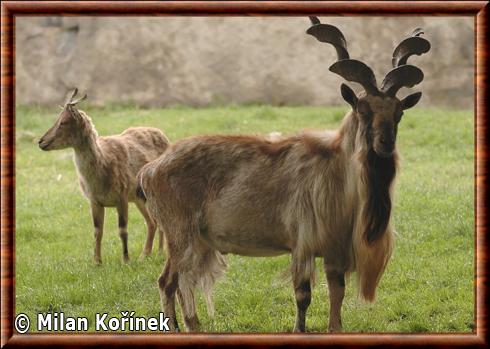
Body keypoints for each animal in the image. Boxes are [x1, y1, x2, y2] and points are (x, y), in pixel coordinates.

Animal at [38, 88, 169, 262]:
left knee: (158, 220)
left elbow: (122, 230)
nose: (41, 141)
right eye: (56, 119)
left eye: (63, 122)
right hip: (139, 198)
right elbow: (97, 231)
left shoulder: (121, 195)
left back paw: (159, 253)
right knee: (152, 221)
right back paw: (147, 254)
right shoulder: (94, 201)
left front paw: (126, 260)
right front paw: (97, 261)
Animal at [137, 19, 428, 332]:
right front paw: (299, 329)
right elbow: (303, 295)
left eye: (398, 112)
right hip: (181, 235)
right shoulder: (303, 243)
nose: (385, 143)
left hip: (193, 241)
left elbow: (337, 292)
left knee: (180, 284)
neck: (339, 174)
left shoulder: (334, 250)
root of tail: (150, 170)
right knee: (169, 282)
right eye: (363, 110)